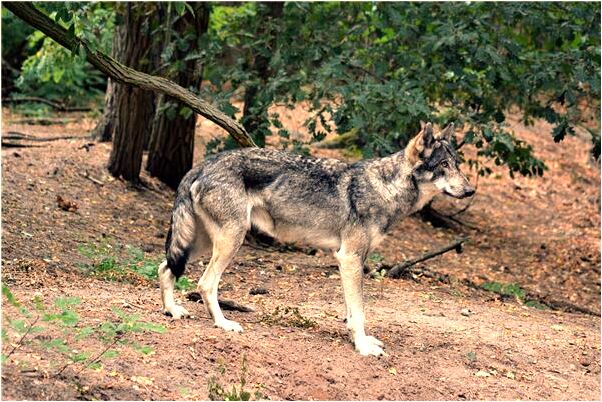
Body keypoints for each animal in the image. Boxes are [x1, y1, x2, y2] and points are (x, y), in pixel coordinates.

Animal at [158, 121, 474, 354]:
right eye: (443, 166)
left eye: (457, 164)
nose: (471, 191)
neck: (386, 188)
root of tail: (202, 164)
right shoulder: (349, 258)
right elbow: (359, 311)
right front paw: (363, 347)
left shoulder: (351, 261)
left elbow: (351, 311)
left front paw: (358, 340)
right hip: (230, 241)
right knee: (205, 283)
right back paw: (223, 324)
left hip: (203, 243)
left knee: (165, 268)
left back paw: (173, 311)